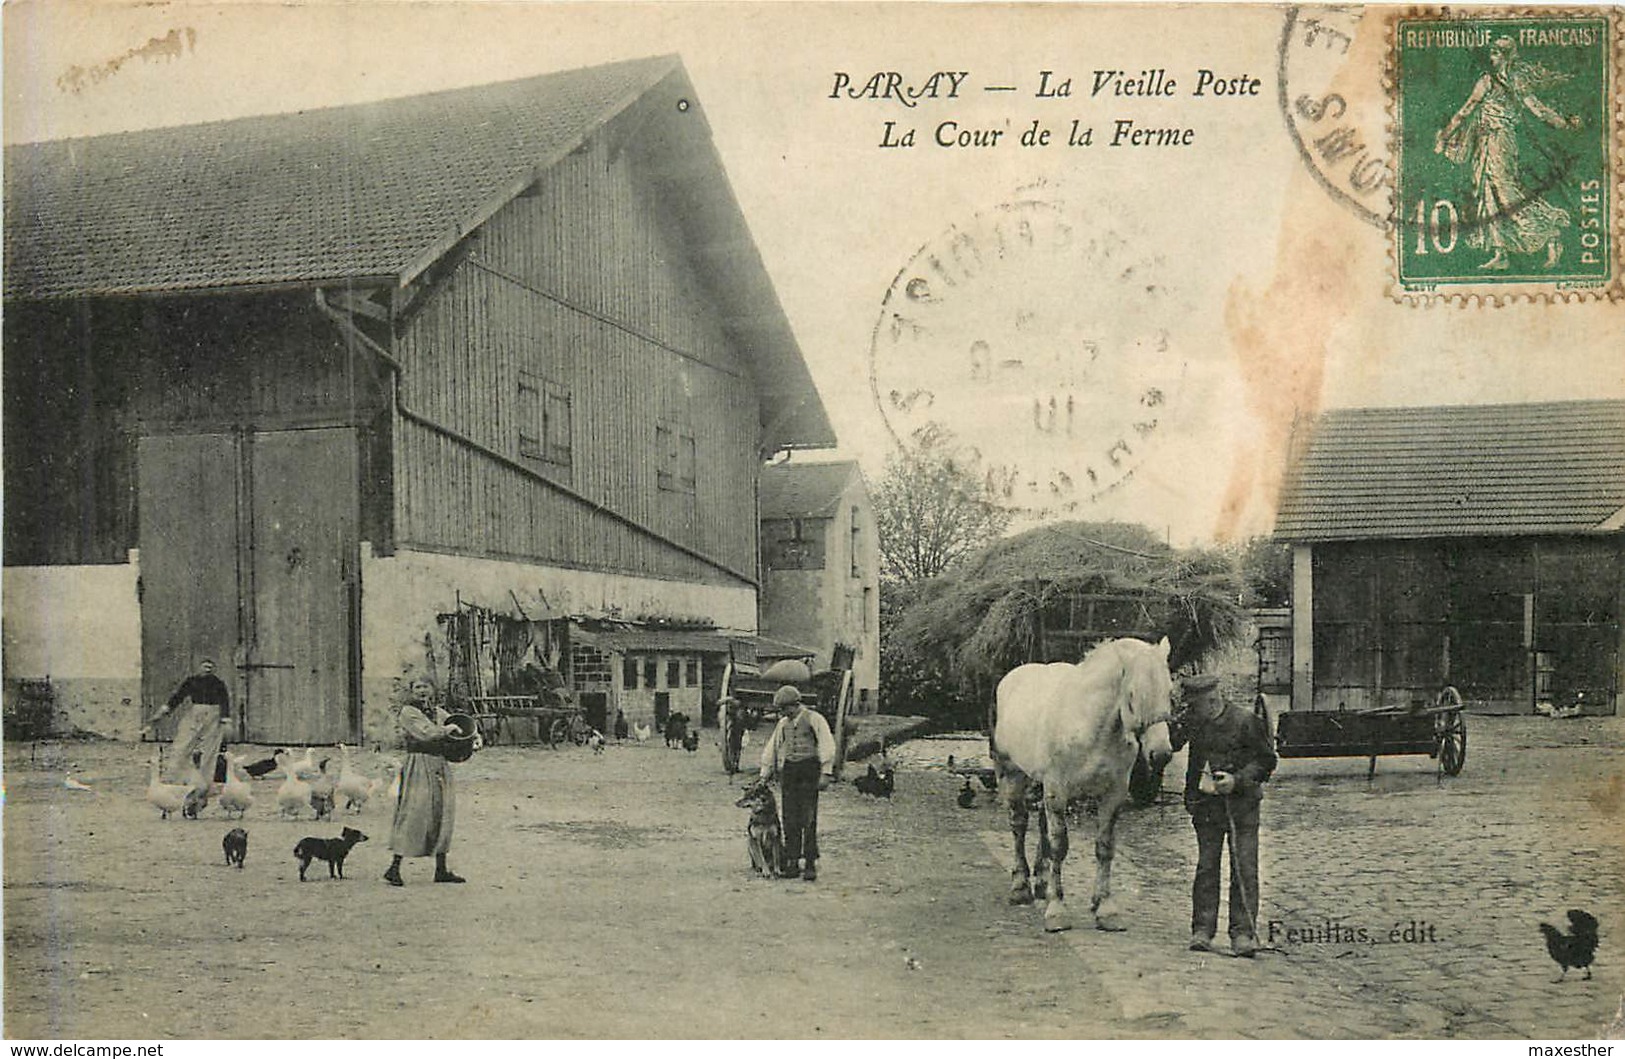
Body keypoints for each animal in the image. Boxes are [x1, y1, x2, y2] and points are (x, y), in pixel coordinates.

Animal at [981, 633, 1176, 929]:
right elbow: (1059, 846)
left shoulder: (1112, 795)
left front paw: (1104, 908)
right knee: (1019, 825)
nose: (1161, 753)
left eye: (1169, 692)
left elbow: (1104, 847)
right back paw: (1021, 887)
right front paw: (1057, 909)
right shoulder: (1057, 791)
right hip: (1011, 775)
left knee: (1040, 825)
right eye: (1132, 696)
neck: (1092, 727)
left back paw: (1041, 883)